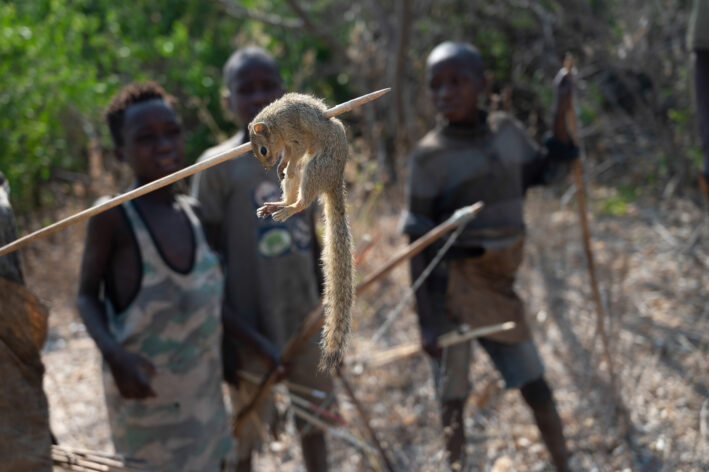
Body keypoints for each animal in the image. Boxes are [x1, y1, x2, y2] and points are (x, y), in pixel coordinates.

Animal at [248, 93, 353, 373]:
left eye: (262, 150)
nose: (268, 166)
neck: (275, 121)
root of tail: (334, 180)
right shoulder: (287, 142)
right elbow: (289, 155)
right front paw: (282, 163)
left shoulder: (295, 132)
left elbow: (298, 148)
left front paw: (284, 161)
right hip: (298, 178)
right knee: (291, 189)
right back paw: (276, 205)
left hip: (314, 168)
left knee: (303, 200)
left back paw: (286, 209)